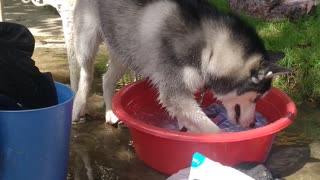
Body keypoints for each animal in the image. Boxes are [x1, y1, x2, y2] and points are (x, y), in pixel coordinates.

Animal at [72, 0, 290, 132]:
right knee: (86, 74)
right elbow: (212, 129)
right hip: (88, 39)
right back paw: (78, 107)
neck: (208, 47)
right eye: (256, 98)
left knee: (107, 79)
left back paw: (110, 112)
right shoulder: (174, 90)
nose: (253, 125)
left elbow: (188, 119)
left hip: (123, 47)